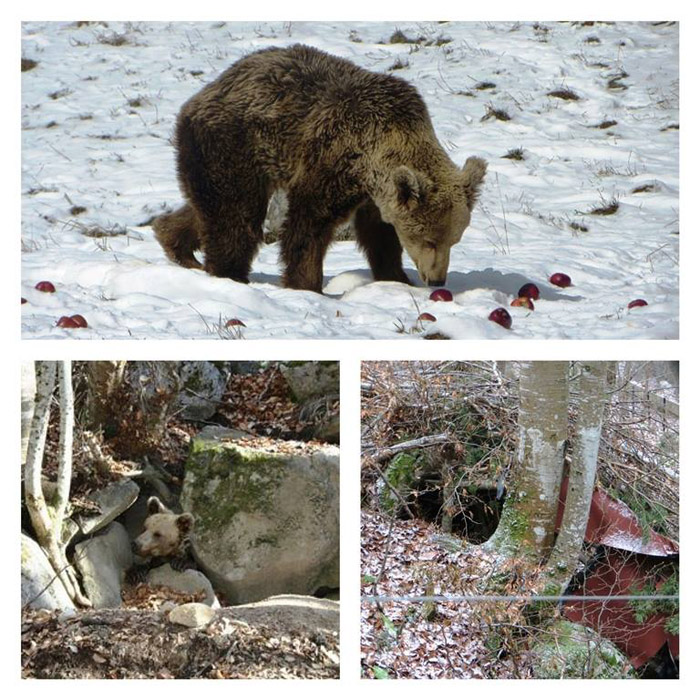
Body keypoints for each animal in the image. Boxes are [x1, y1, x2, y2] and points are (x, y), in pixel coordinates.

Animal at [154, 43, 486, 292]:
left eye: (454, 239)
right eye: (428, 240)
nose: (437, 280)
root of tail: (199, 96)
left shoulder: (374, 192)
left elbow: (378, 233)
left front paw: (395, 276)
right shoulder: (334, 158)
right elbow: (309, 223)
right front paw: (306, 283)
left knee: (207, 208)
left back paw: (174, 242)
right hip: (237, 145)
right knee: (235, 213)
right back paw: (228, 272)